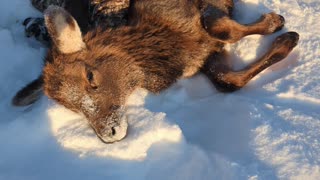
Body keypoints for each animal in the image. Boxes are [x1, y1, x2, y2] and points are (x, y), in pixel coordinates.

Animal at [11, 0, 298, 143]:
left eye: (90, 76)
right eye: (71, 108)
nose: (109, 135)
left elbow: (221, 28)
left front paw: (276, 23)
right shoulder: (206, 57)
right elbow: (227, 80)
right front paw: (285, 40)